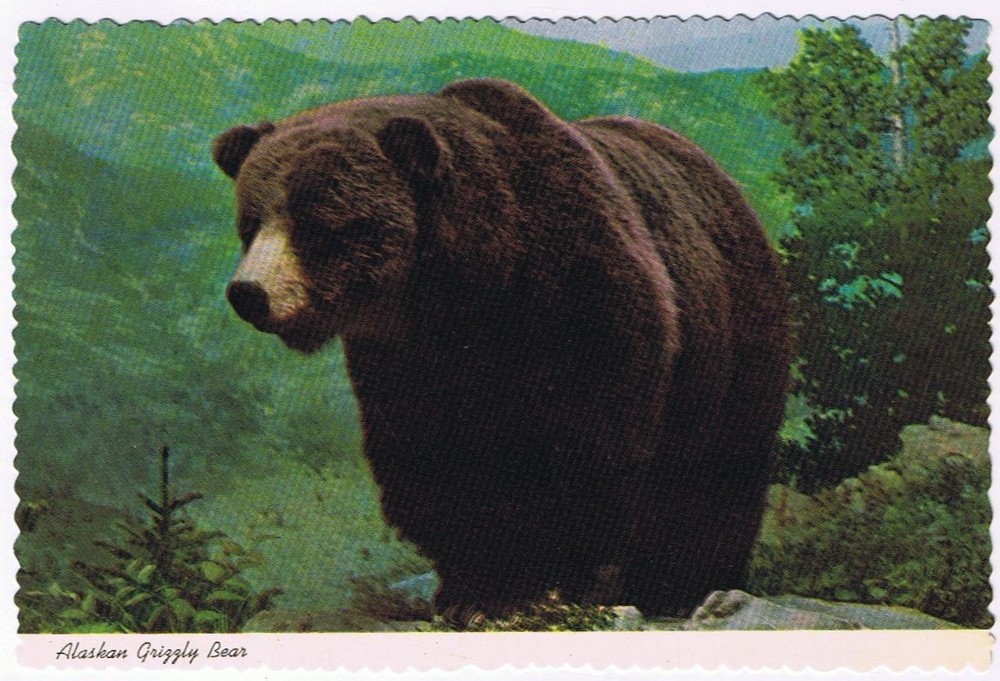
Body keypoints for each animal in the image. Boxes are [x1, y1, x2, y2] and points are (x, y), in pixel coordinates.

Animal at [212, 78, 790, 623]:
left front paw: (541, 583)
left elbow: (582, 447)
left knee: (716, 470)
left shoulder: (582, 300)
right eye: (251, 223)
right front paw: (471, 586)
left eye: (318, 223)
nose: (249, 293)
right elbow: (431, 461)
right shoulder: (406, 358)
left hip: (734, 332)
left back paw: (683, 584)